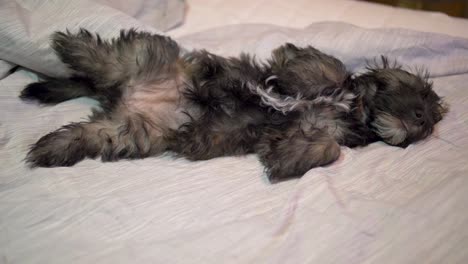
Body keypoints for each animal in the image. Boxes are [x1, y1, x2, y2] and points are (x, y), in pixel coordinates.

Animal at [20, 28, 448, 182]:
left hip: (130, 132)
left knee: (88, 132)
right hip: (146, 56)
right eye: (419, 94)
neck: (351, 111)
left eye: (430, 116)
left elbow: (325, 146)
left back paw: (50, 147)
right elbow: (325, 67)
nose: (422, 119)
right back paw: (69, 47)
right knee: (106, 59)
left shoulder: (323, 130)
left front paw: (291, 157)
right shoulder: (306, 63)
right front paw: (305, 82)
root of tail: (124, 95)